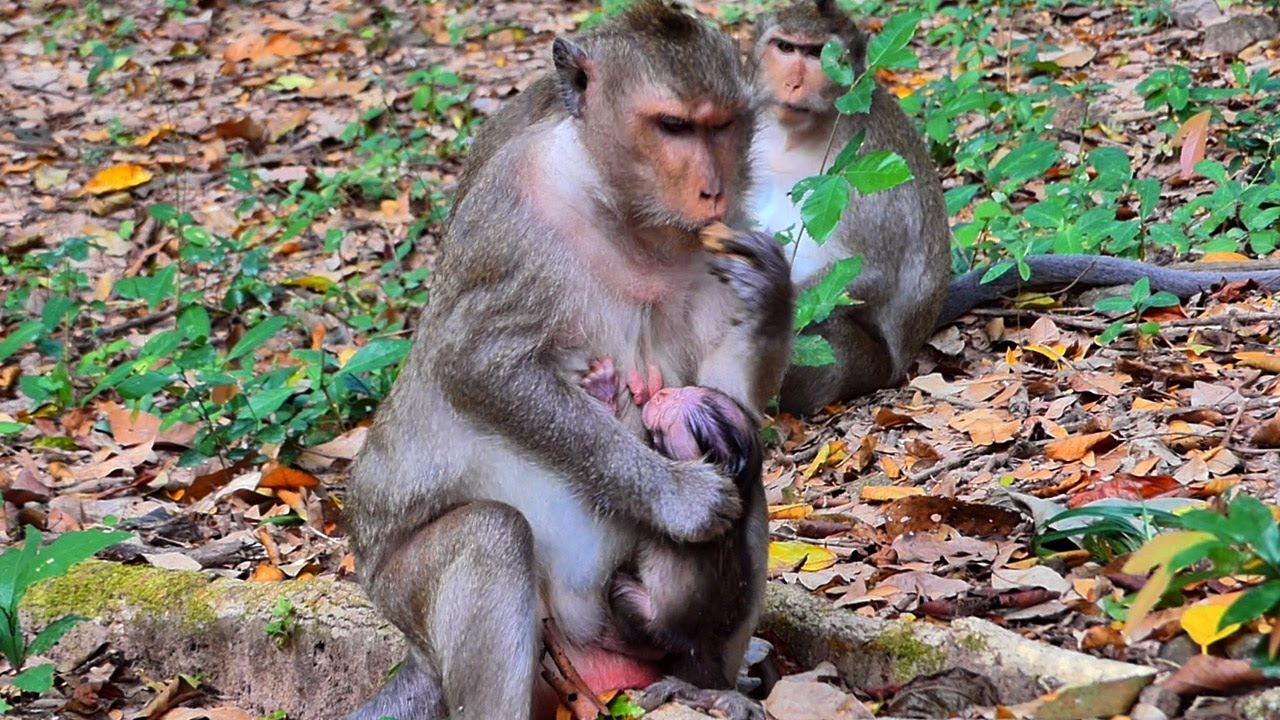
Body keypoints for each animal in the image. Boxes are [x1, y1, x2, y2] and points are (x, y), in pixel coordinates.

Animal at [344, 5, 793, 720]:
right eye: (673, 126)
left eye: (721, 125)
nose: (713, 191)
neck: (621, 211)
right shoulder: (512, 213)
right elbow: (475, 367)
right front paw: (677, 498)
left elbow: (726, 404)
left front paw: (770, 289)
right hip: (402, 590)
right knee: (490, 536)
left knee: (746, 479)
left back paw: (705, 685)